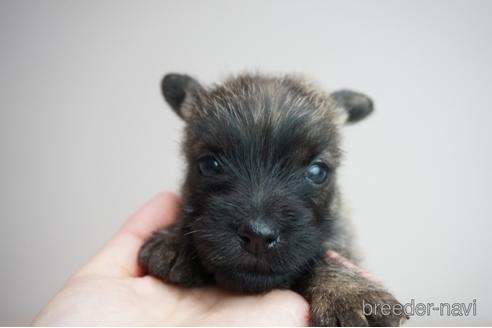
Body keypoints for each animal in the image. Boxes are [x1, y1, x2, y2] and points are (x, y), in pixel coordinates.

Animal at [138, 73, 408, 326]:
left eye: (317, 172)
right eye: (208, 164)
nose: (258, 236)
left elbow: (324, 254)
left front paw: (347, 292)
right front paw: (176, 240)